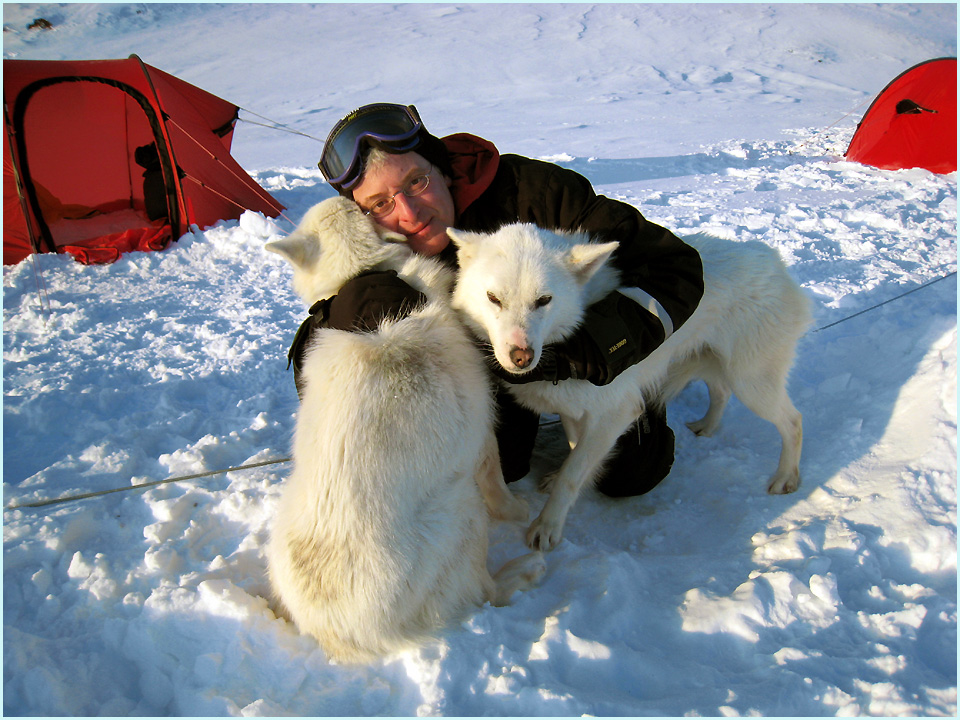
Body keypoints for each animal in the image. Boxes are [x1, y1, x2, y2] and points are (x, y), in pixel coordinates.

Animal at [266, 197, 544, 664]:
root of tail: (352, 634)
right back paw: (522, 573)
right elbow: (497, 481)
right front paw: (517, 511)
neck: (364, 275)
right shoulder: (481, 432)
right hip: (463, 510)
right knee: (484, 591)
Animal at [454, 225, 812, 552]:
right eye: (493, 299)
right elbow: (575, 452)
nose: (521, 356)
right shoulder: (577, 411)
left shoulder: (617, 413)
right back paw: (706, 427)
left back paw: (786, 477)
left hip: (752, 383)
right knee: (721, 392)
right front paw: (575, 478)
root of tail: (772, 258)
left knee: (794, 421)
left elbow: (573, 472)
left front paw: (548, 524)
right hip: (715, 362)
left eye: (544, 300)